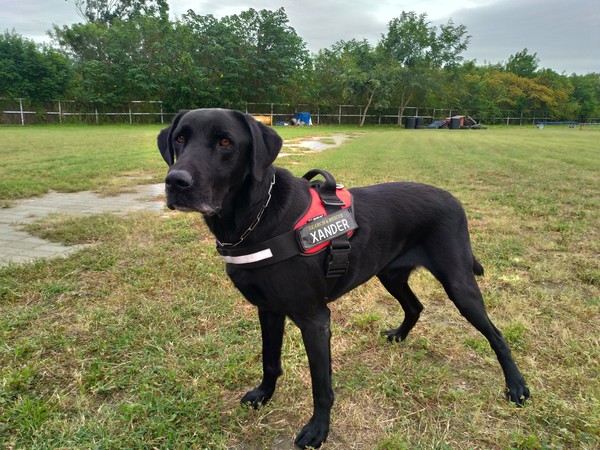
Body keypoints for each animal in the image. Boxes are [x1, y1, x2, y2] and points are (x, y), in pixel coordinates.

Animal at [158, 108, 528, 446]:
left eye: (225, 142)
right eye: (180, 139)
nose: (176, 181)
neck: (254, 219)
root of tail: (453, 199)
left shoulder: (314, 319)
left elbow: (321, 385)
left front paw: (318, 430)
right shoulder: (269, 310)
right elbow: (269, 360)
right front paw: (264, 394)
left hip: (459, 284)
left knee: (496, 334)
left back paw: (517, 386)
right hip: (391, 274)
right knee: (415, 306)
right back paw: (400, 335)